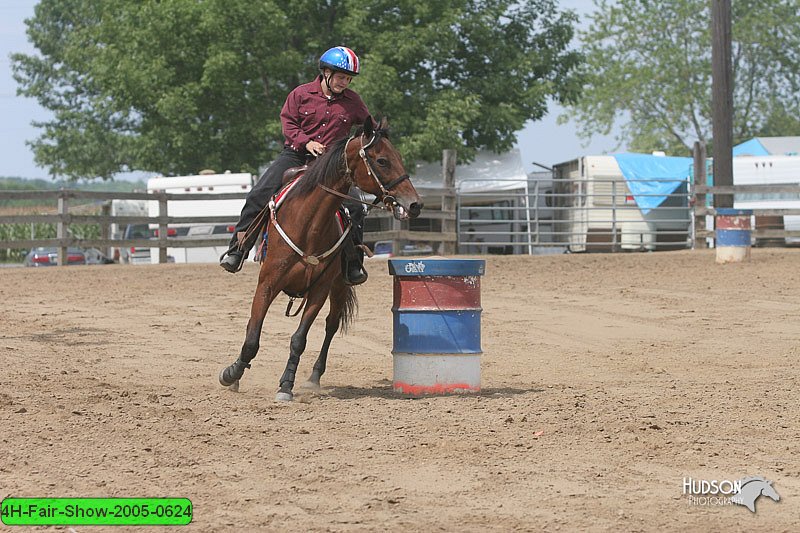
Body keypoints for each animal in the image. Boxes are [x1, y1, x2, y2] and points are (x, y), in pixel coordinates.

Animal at [216, 116, 422, 400]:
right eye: (382, 161)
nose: (414, 204)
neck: (308, 223)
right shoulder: (267, 284)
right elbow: (252, 336)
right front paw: (232, 374)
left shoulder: (319, 290)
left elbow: (299, 339)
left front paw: (286, 385)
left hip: (339, 287)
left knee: (331, 326)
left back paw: (314, 376)